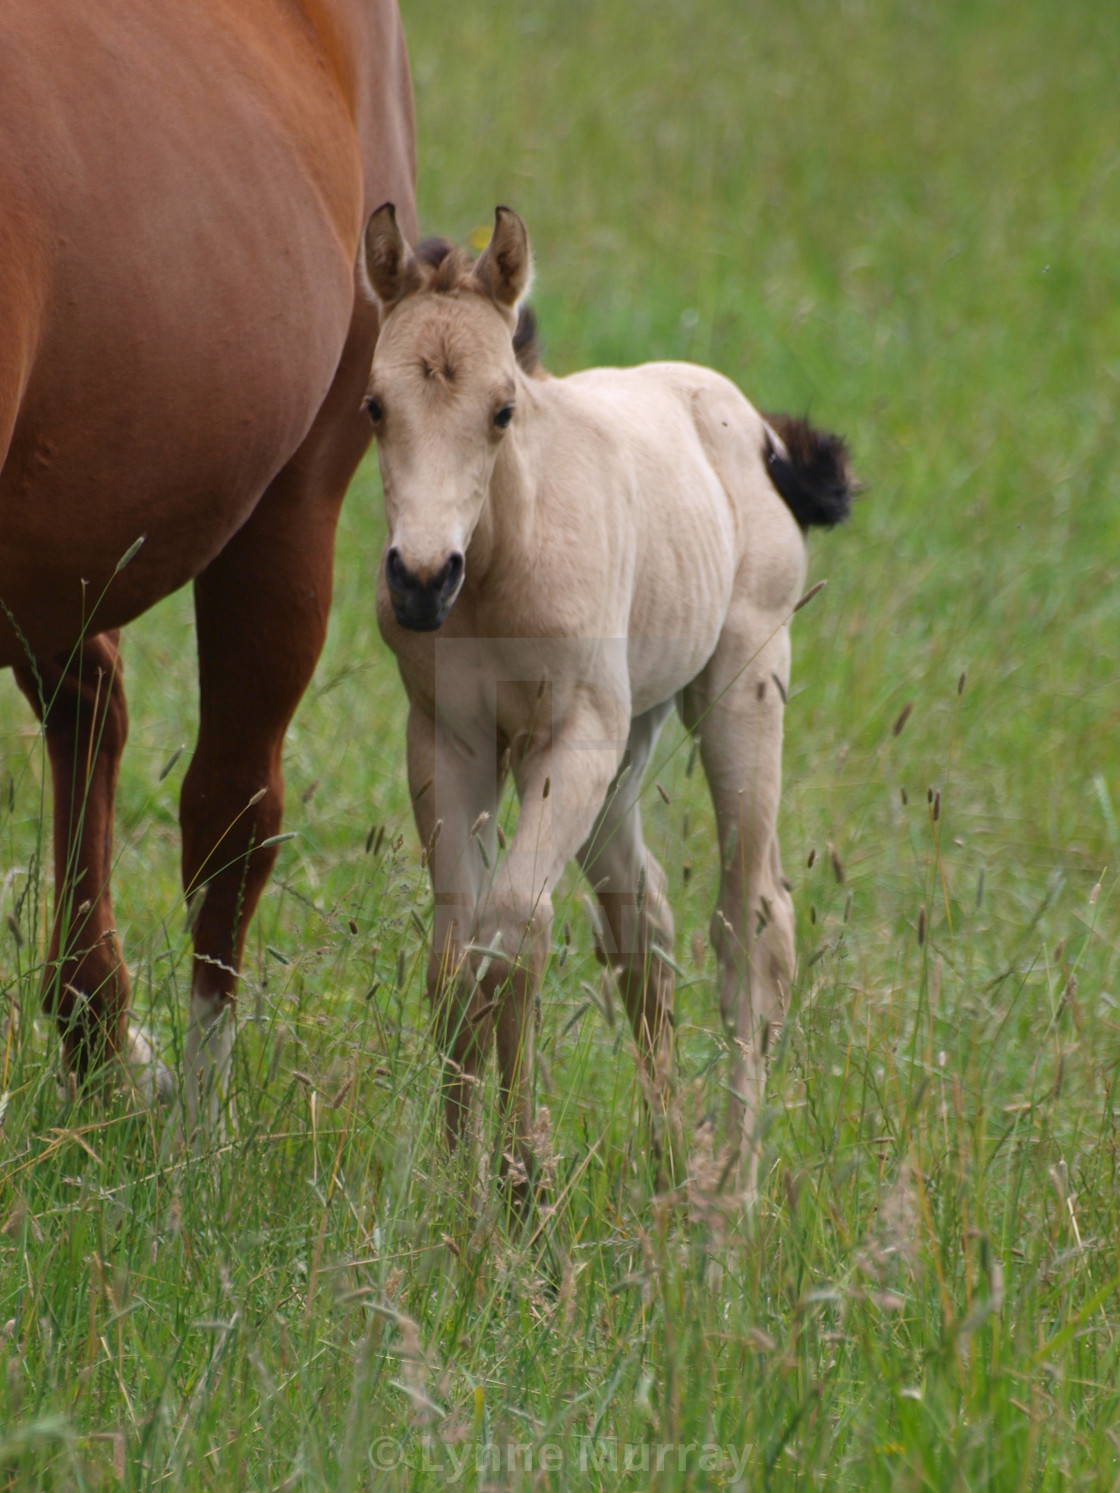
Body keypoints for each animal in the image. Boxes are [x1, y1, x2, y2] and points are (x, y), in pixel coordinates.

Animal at [364, 204, 854, 1194]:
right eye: (373, 406)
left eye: (502, 409)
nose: (422, 580)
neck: (502, 561)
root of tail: (758, 430)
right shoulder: (449, 739)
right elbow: (456, 954)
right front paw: (458, 1183)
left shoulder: (571, 737)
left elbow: (513, 931)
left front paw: (520, 1175)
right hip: (631, 745)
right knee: (643, 919)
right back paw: (667, 1157)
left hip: (739, 691)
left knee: (751, 924)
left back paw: (732, 1181)